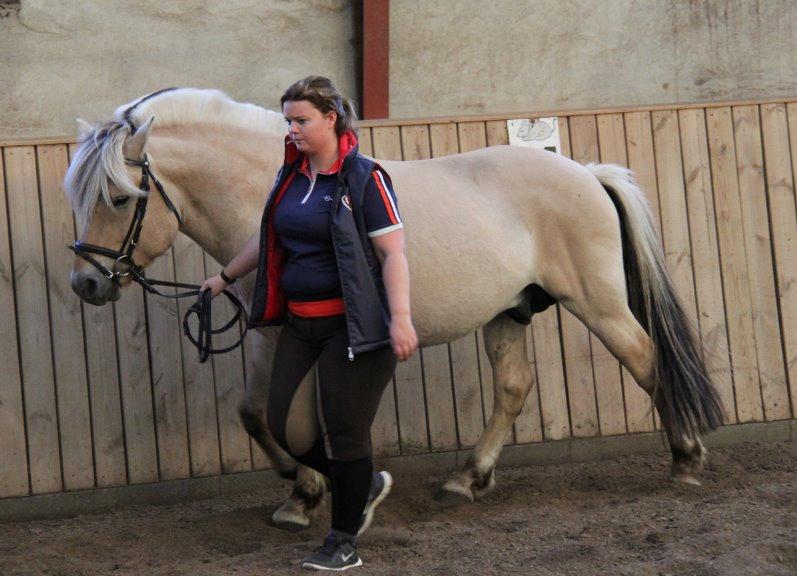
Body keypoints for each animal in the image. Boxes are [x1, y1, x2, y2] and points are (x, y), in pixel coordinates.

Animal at [63, 88, 720, 532]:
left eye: (118, 197)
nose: (87, 283)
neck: (267, 196)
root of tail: (584, 171)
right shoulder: (273, 332)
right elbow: (259, 414)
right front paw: (301, 490)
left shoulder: (292, 333)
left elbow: (288, 417)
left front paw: (314, 490)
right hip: (507, 313)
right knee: (513, 387)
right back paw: (467, 479)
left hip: (598, 302)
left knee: (646, 360)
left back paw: (686, 459)